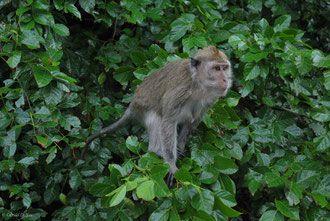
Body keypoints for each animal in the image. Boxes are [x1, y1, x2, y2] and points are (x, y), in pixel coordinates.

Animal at [81, 45, 233, 186]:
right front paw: (171, 164)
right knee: (157, 119)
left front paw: (180, 148)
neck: (198, 83)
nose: (225, 80)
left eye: (225, 68)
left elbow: (191, 123)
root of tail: (132, 104)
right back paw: (157, 152)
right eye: (216, 68)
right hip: (142, 107)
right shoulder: (179, 92)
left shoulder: (211, 98)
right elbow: (168, 122)